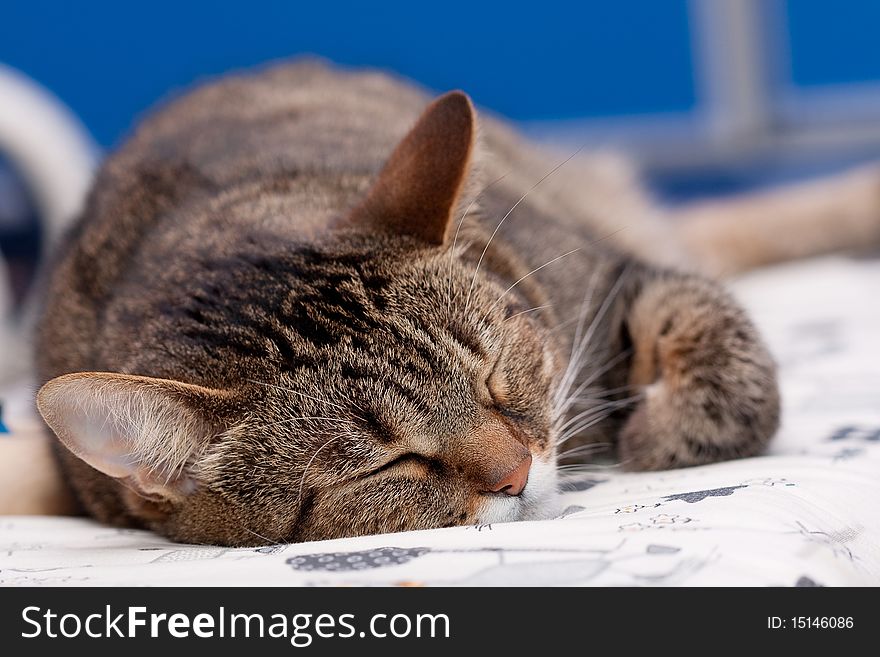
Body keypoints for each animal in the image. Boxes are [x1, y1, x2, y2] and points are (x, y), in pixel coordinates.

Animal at [32, 60, 880, 544]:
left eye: (496, 375)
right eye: (388, 463)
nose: (518, 473)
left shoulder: (614, 278)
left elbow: (728, 355)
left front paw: (658, 433)